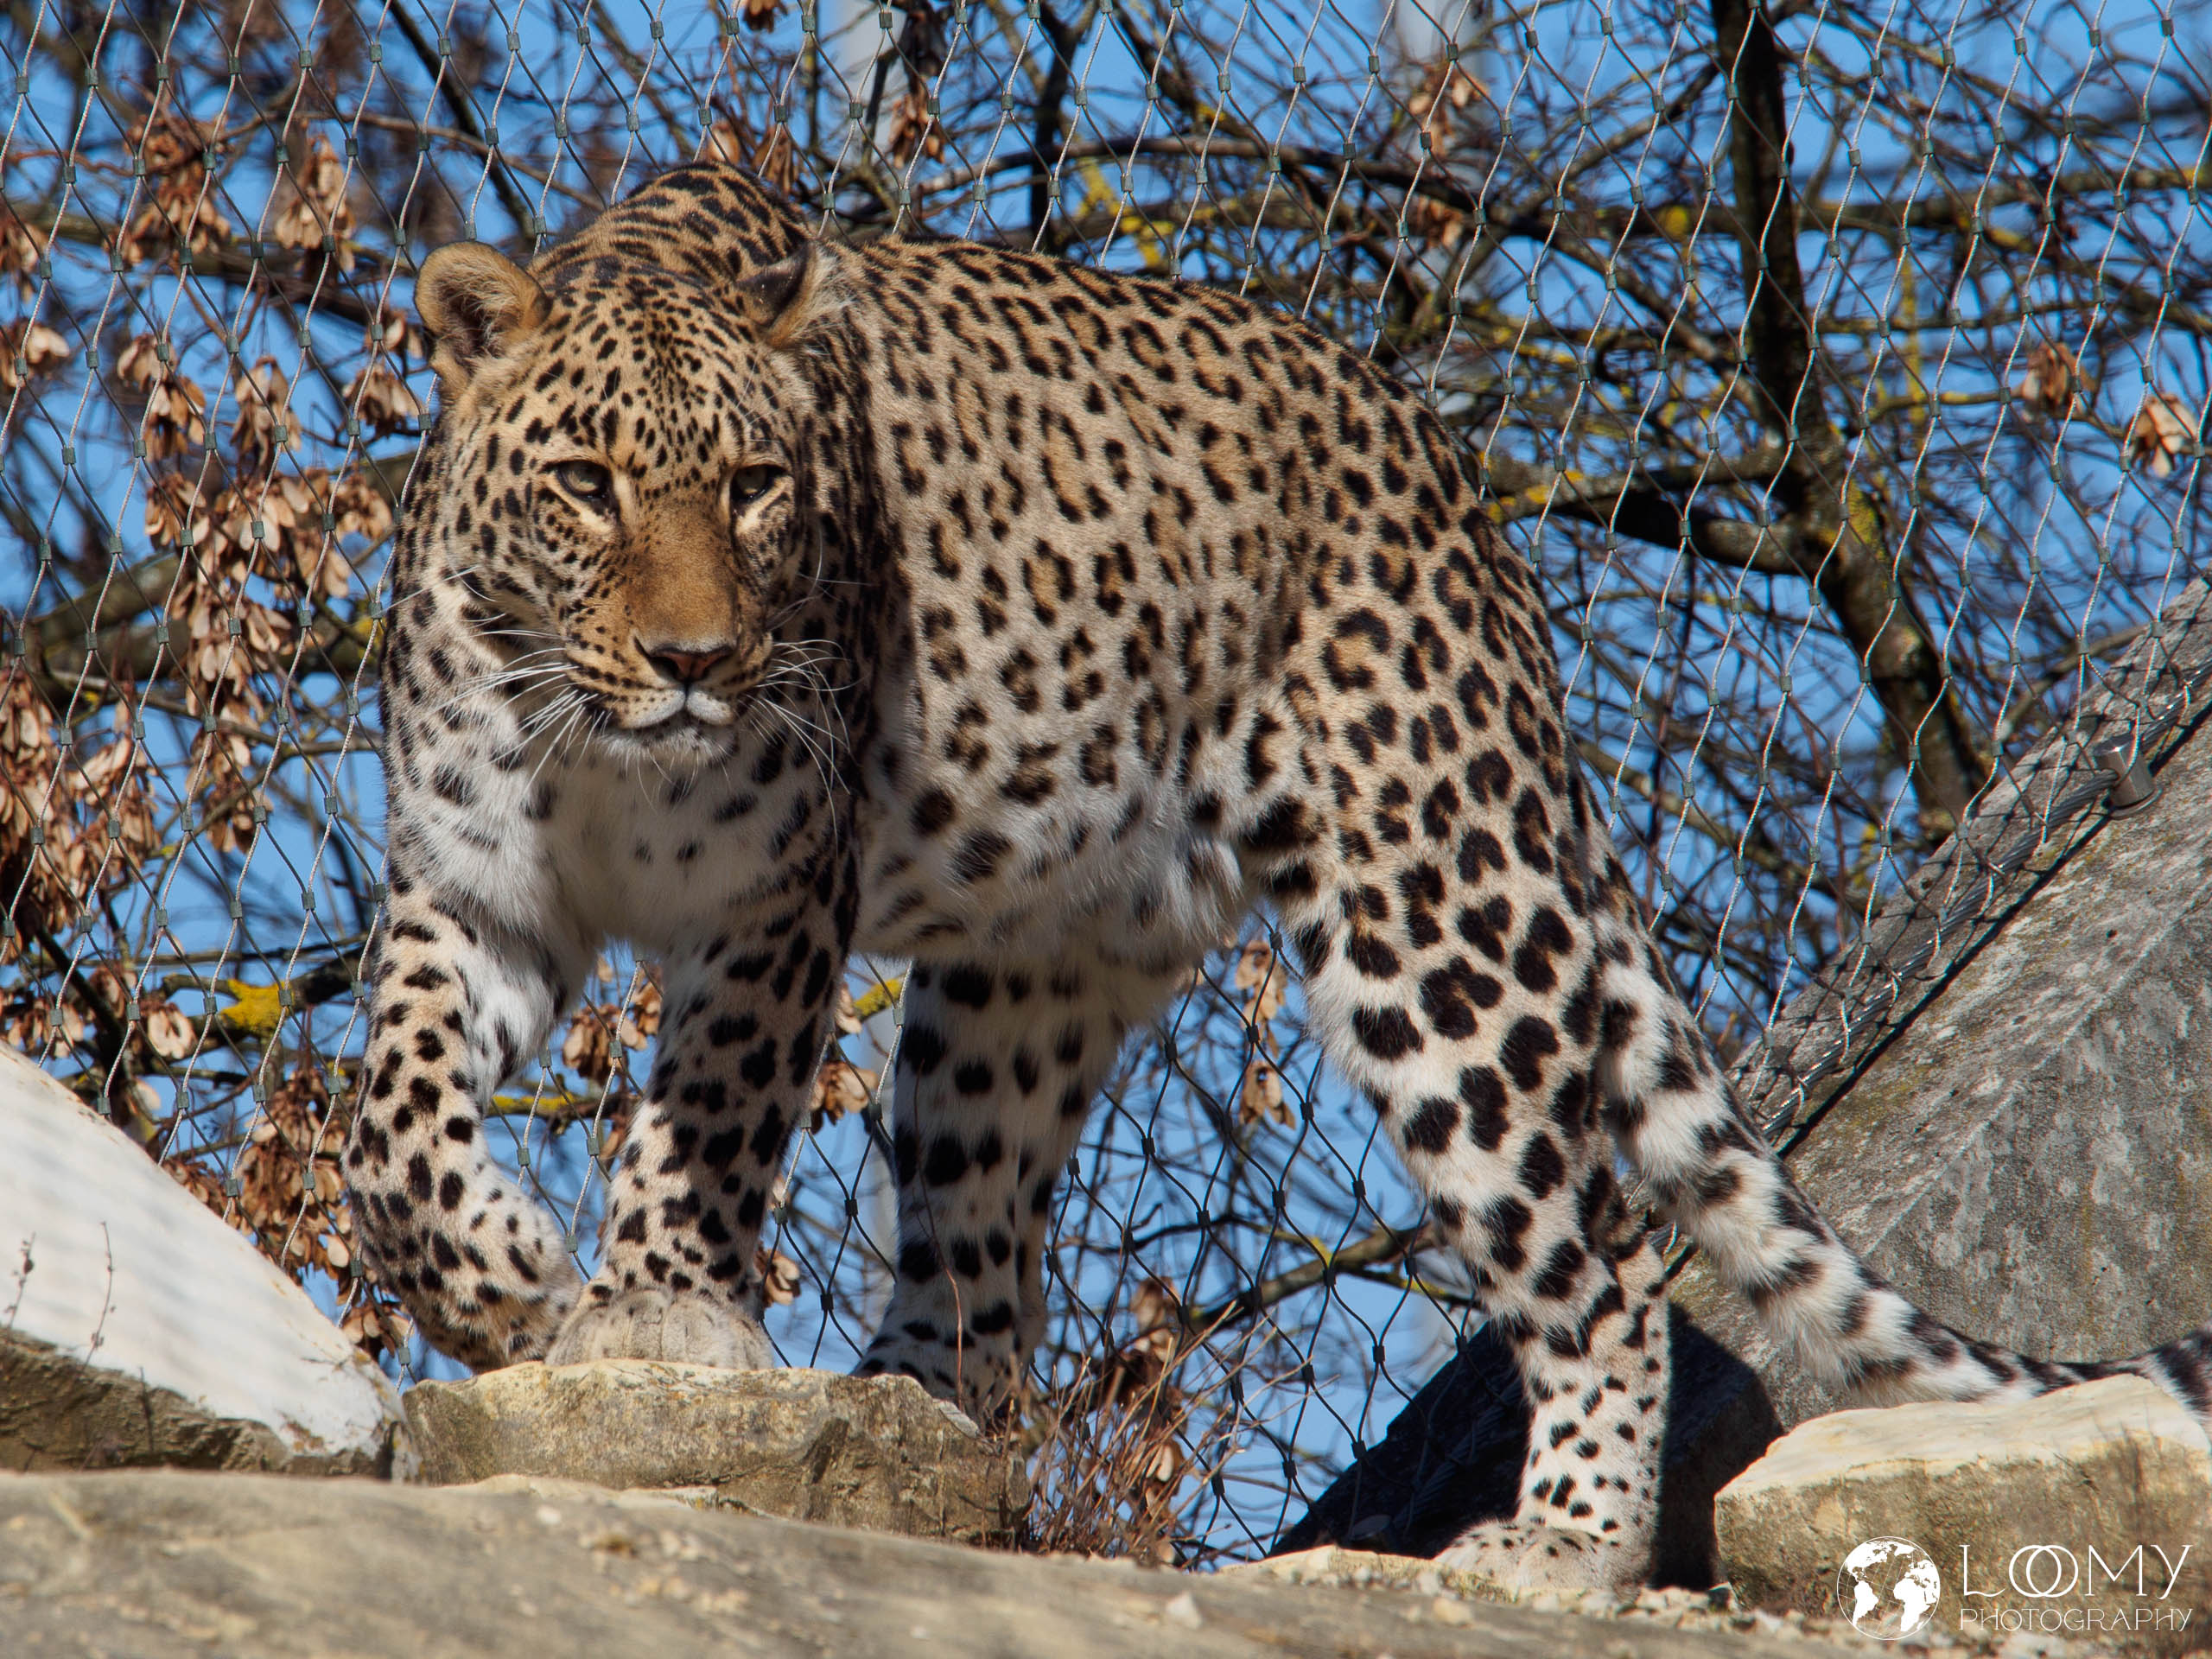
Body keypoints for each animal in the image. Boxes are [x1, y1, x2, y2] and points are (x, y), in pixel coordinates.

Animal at [345, 158, 2212, 1592]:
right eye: (587, 486)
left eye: (752, 487)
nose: (696, 661)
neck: (587, 738)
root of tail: (1463, 498)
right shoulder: (471, 886)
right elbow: (393, 1123)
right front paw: (500, 1276)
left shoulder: (774, 899)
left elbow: (707, 1121)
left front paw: (649, 1311)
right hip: (1022, 982)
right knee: (984, 1277)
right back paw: (904, 1427)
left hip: (1438, 917)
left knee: (1604, 1271)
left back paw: (1564, 1552)